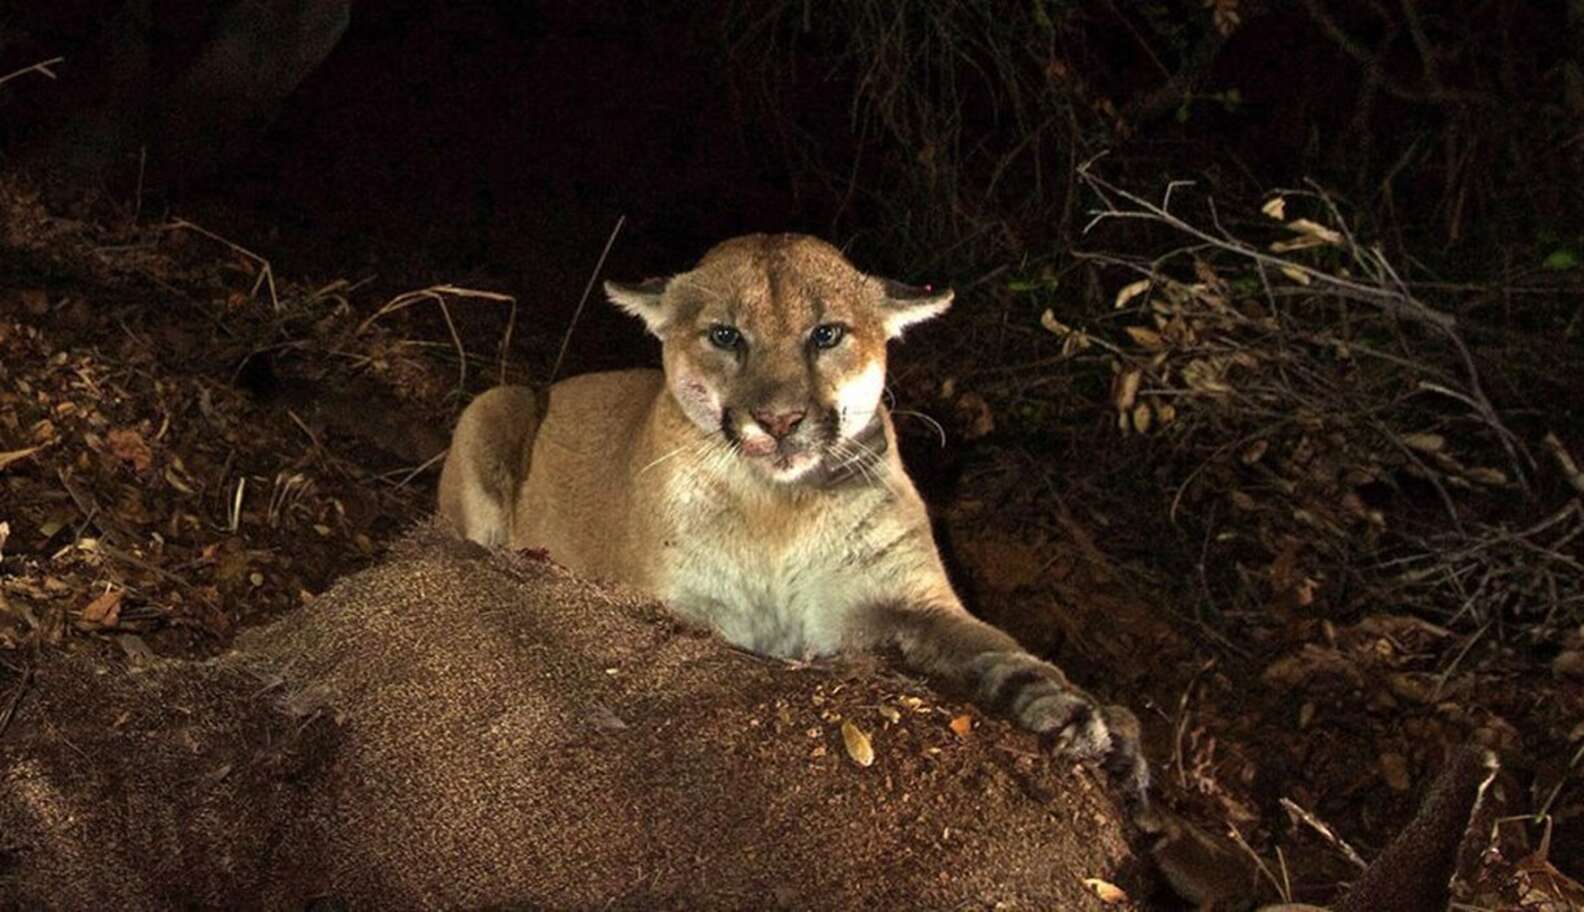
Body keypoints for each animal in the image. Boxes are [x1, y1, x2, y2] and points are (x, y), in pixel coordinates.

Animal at [440, 232, 1146, 798]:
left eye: (826, 333)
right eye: (726, 335)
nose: (779, 421)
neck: (777, 507)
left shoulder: (908, 597)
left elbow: (996, 649)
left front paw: (1084, 718)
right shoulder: (678, 604)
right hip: (493, 405)